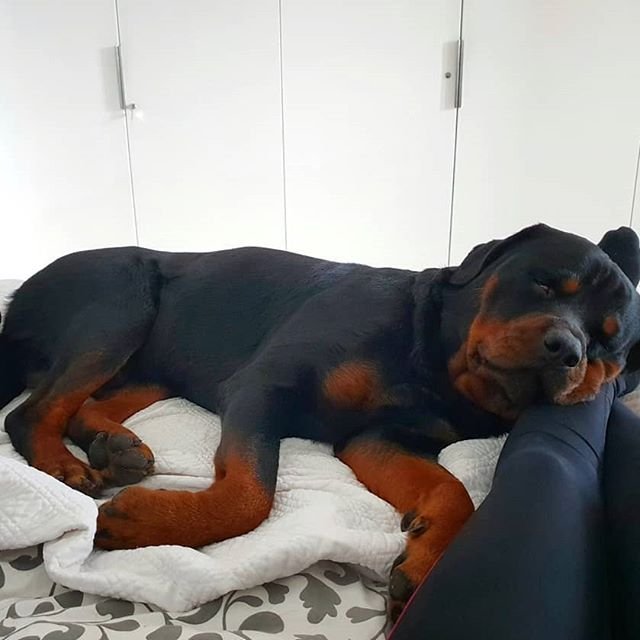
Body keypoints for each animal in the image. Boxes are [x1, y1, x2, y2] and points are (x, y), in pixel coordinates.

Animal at [1, 222, 640, 612]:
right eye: (545, 284)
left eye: (608, 341)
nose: (567, 349)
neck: (435, 360)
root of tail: (16, 299)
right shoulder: (264, 386)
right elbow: (250, 495)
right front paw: (143, 523)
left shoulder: (376, 439)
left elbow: (452, 490)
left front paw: (425, 562)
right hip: (122, 303)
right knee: (31, 411)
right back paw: (64, 467)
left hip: (154, 366)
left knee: (81, 404)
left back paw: (113, 446)